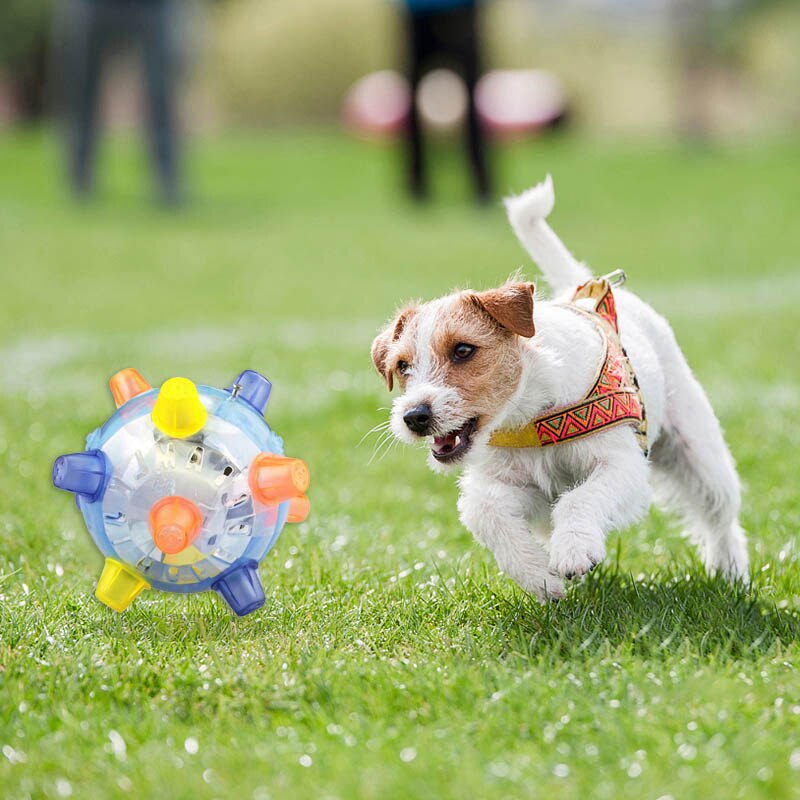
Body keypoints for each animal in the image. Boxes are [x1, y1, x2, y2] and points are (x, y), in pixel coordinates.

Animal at [370, 177, 752, 600]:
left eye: (463, 350)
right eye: (402, 366)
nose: (414, 416)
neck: (531, 414)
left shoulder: (621, 464)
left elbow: (579, 498)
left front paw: (573, 551)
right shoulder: (519, 486)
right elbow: (484, 510)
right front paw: (539, 574)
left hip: (699, 453)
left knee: (721, 517)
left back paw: (731, 574)